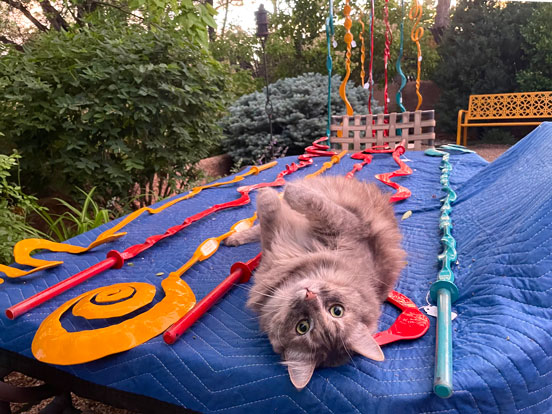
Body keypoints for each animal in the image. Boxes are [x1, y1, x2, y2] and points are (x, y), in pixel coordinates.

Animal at [224, 175, 406, 388]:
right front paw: (273, 195)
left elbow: (297, 205)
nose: (309, 294)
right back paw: (234, 238)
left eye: (303, 326)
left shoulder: (346, 226)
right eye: (337, 310)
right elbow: (272, 221)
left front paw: (279, 192)